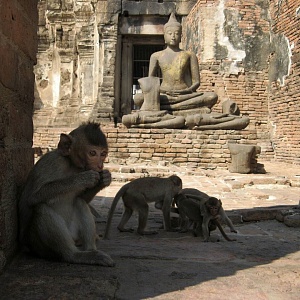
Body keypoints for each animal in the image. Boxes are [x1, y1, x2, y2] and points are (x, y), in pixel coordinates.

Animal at [18, 122, 115, 268]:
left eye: (103, 154)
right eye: (92, 153)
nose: (100, 165)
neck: (72, 166)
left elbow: (82, 198)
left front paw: (104, 179)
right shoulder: (52, 162)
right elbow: (31, 198)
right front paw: (82, 179)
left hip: (74, 234)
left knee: (79, 202)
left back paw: (91, 251)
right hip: (40, 246)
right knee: (41, 208)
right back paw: (74, 255)